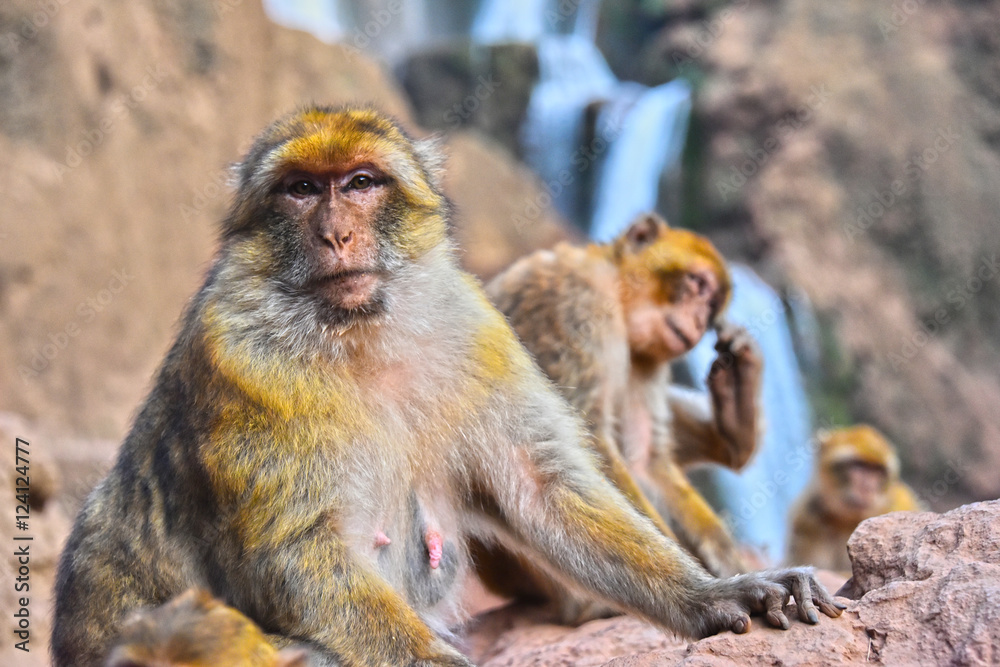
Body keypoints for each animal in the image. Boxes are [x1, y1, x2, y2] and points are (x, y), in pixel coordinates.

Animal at [484, 213, 761, 588]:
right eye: (698, 284)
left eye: (712, 307)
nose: (700, 320)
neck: (616, 291)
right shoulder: (576, 304)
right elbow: (584, 442)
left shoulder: (647, 363)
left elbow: (645, 462)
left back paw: (735, 423)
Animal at [787, 425, 922, 573]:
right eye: (859, 465)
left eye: (877, 471)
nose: (867, 488)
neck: (845, 521)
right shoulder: (807, 518)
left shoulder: (902, 504)